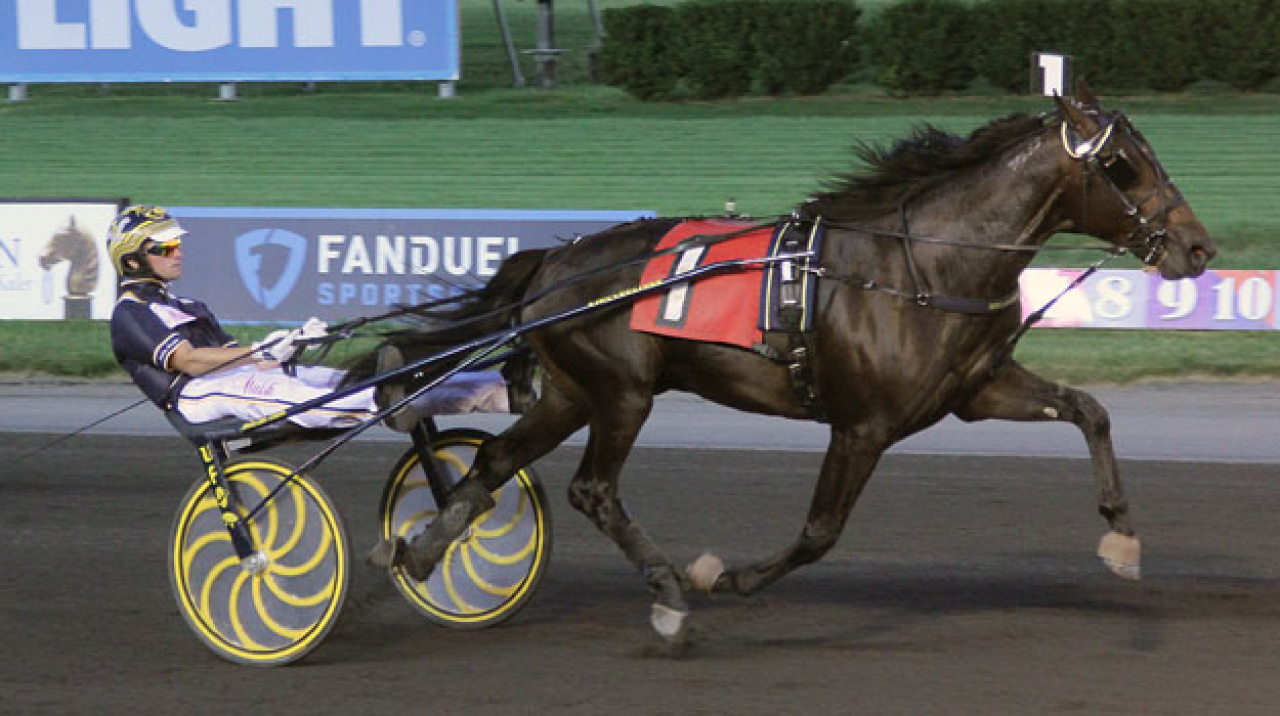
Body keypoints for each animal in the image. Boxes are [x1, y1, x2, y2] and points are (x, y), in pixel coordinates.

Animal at [356, 83, 1215, 648]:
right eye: (1125, 166)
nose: (1197, 247)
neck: (924, 265)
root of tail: (553, 262)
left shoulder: (976, 387)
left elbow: (1088, 409)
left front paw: (1122, 535)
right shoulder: (863, 425)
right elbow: (820, 533)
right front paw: (721, 578)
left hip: (572, 391)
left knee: (496, 460)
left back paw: (423, 550)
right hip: (623, 391)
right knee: (592, 488)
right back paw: (668, 591)